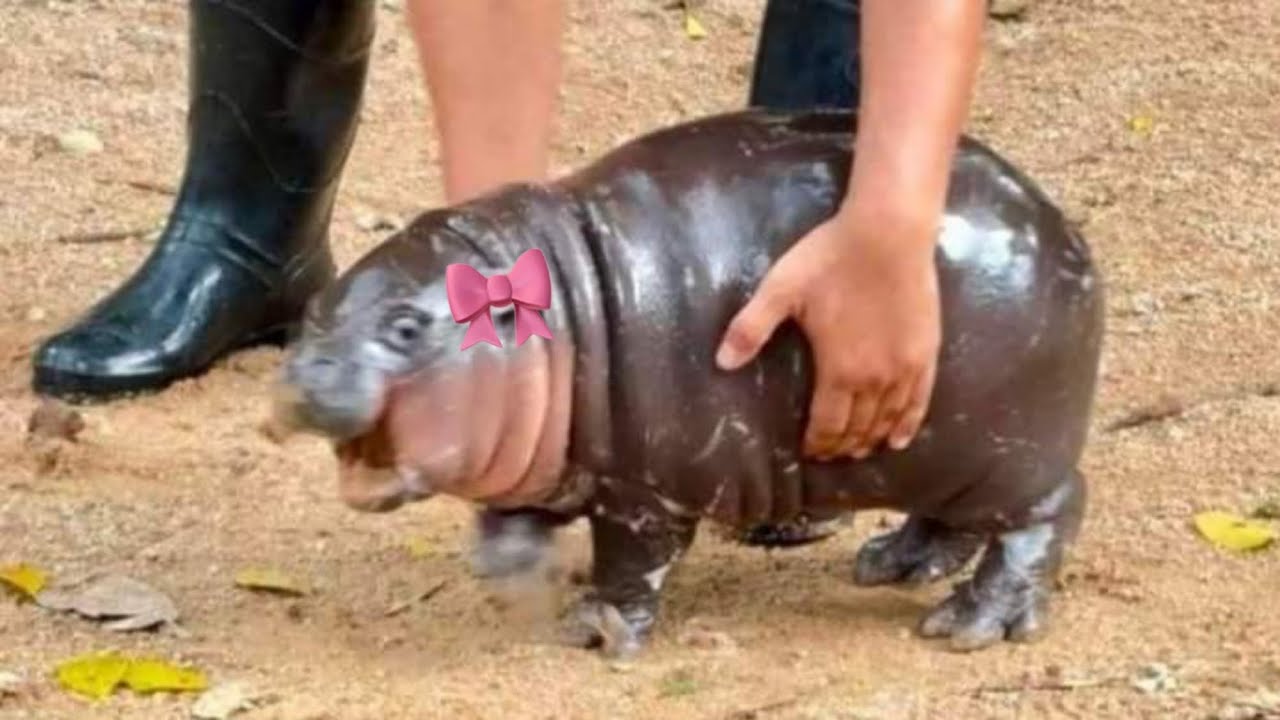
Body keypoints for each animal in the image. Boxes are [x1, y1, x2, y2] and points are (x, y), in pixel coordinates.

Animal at [275, 108, 1105, 657]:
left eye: (406, 328)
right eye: (313, 308)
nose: (303, 376)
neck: (563, 310)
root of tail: (1063, 230)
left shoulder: (644, 493)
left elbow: (631, 564)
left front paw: (596, 630)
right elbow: (514, 516)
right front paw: (515, 574)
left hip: (1010, 452)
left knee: (1047, 514)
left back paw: (970, 626)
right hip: (940, 452)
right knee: (954, 520)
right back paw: (890, 565)